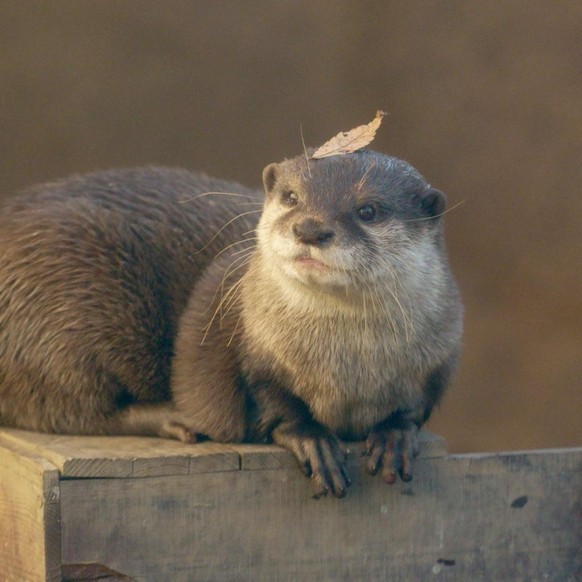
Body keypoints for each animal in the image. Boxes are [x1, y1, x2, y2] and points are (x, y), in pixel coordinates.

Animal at [1, 153, 466, 500]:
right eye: (291, 197)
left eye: (368, 210)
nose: (310, 228)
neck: (346, 370)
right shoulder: (251, 347)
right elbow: (270, 400)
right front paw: (312, 438)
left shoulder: (439, 356)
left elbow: (415, 407)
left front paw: (393, 436)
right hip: (63, 309)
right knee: (73, 410)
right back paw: (177, 419)